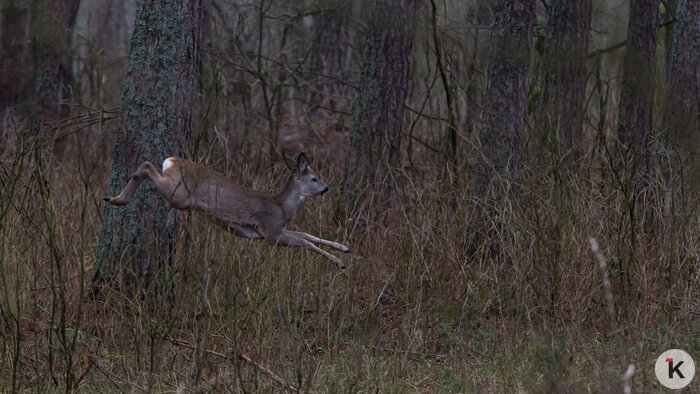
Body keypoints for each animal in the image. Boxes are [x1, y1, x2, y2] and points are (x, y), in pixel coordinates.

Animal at [104, 152, 352, 270]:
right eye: (314, 178)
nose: (326, 188)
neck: (282, 206)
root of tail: (172, 160)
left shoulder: (274, 229)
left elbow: (306, 235)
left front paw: (344, 248)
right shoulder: (271, 231)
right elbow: (305, 241)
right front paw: (339, 262)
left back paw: (114, 198)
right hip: (179, 196)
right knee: (146, 165)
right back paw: (118, 199)